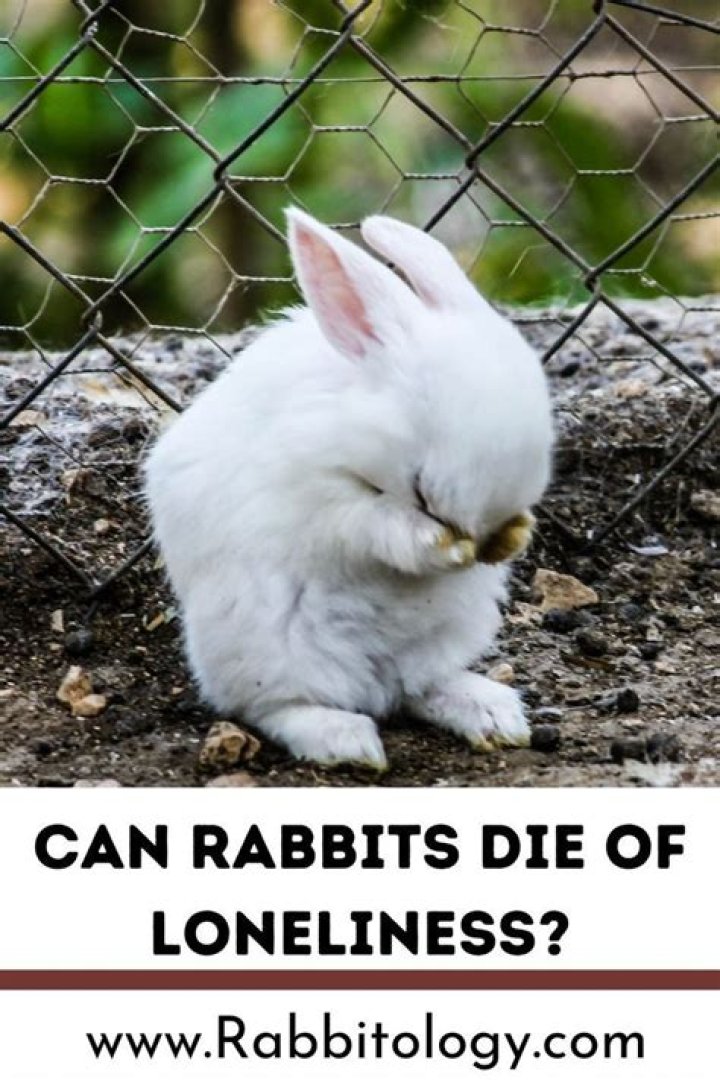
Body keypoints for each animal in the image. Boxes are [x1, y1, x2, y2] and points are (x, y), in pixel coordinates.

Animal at [144, 208, 554, 769]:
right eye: (421, 490)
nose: (486, 551)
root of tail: (373, 685)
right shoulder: (322, 500)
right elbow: (372, 524)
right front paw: (436, 546)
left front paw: (516, 535)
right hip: (267, 646)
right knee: (269, 706)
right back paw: (345, 740)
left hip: (448, 634)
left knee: (418, 688)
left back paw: (491, 713)